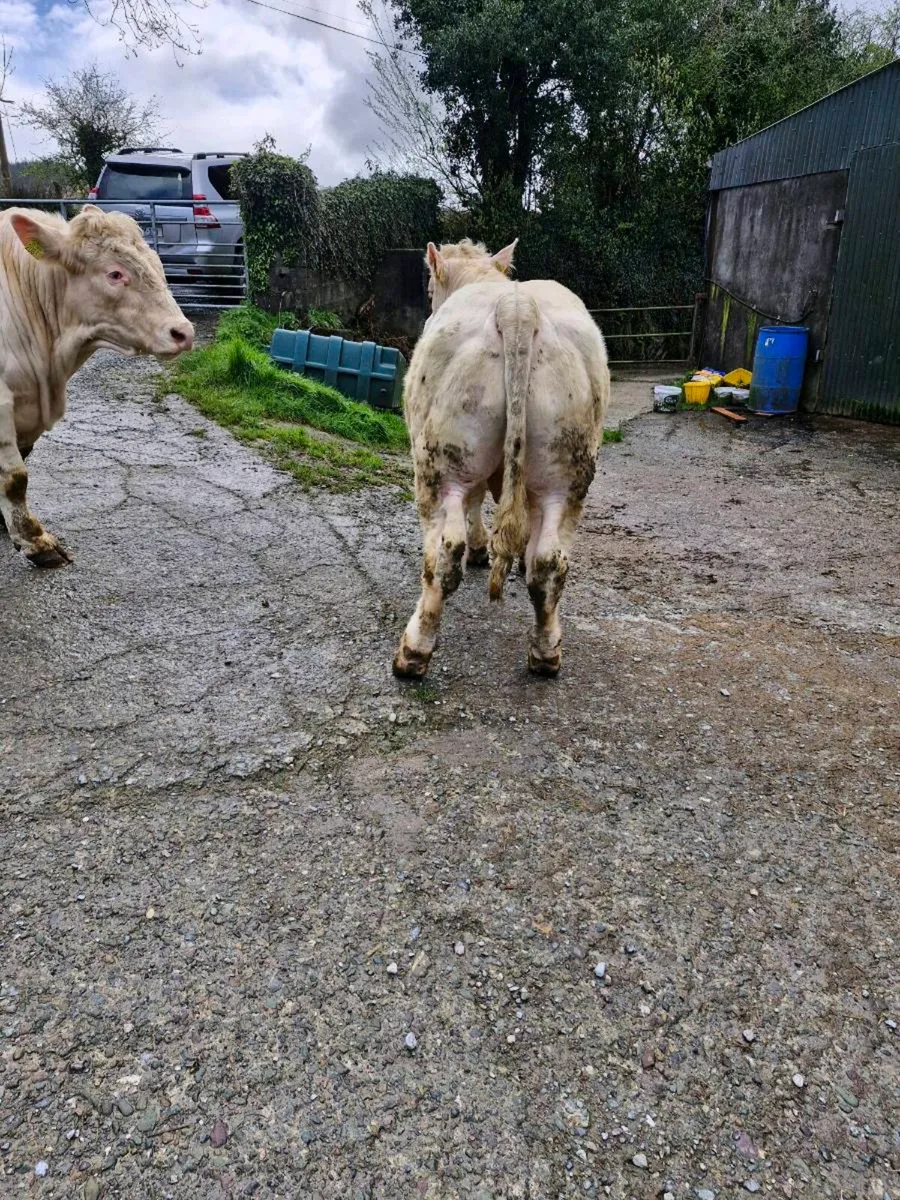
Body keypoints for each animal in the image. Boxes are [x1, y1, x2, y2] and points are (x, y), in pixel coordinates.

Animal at [393, 238, 609, 679]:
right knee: (549, 561)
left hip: (442, 463)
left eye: (429, 288)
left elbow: (475, 508)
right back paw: (545, 653)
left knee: (444, 554)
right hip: (566, 469)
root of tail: (516, 308)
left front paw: (479, 549)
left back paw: (413, 651)